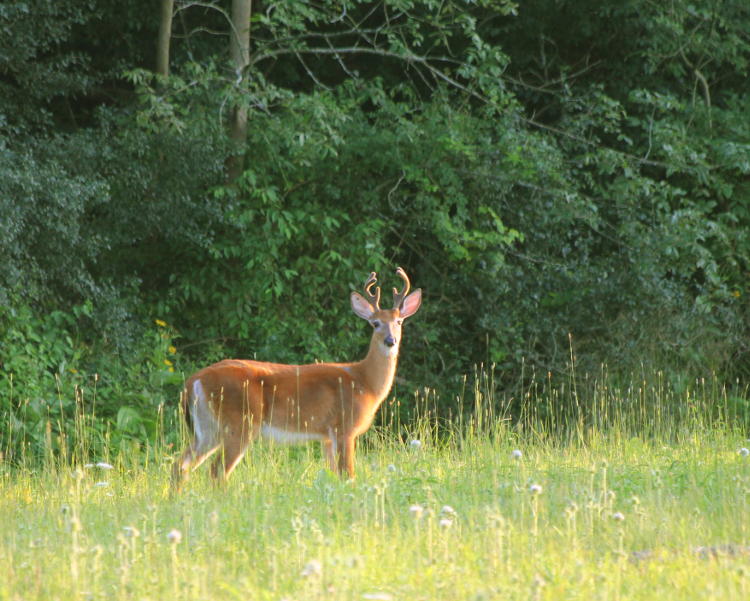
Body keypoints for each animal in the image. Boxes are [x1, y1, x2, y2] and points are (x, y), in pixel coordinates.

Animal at [173, 268, 426, 488]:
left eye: (399, 321)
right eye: (375, 323)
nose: (390, 341)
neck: (365, 382)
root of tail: (193, 381)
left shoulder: (326, 435)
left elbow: (334, 475)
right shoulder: (344, 426)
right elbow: (348, 474)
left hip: (208, 427)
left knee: (181, 463)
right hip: (239, 422)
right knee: (217, 470)